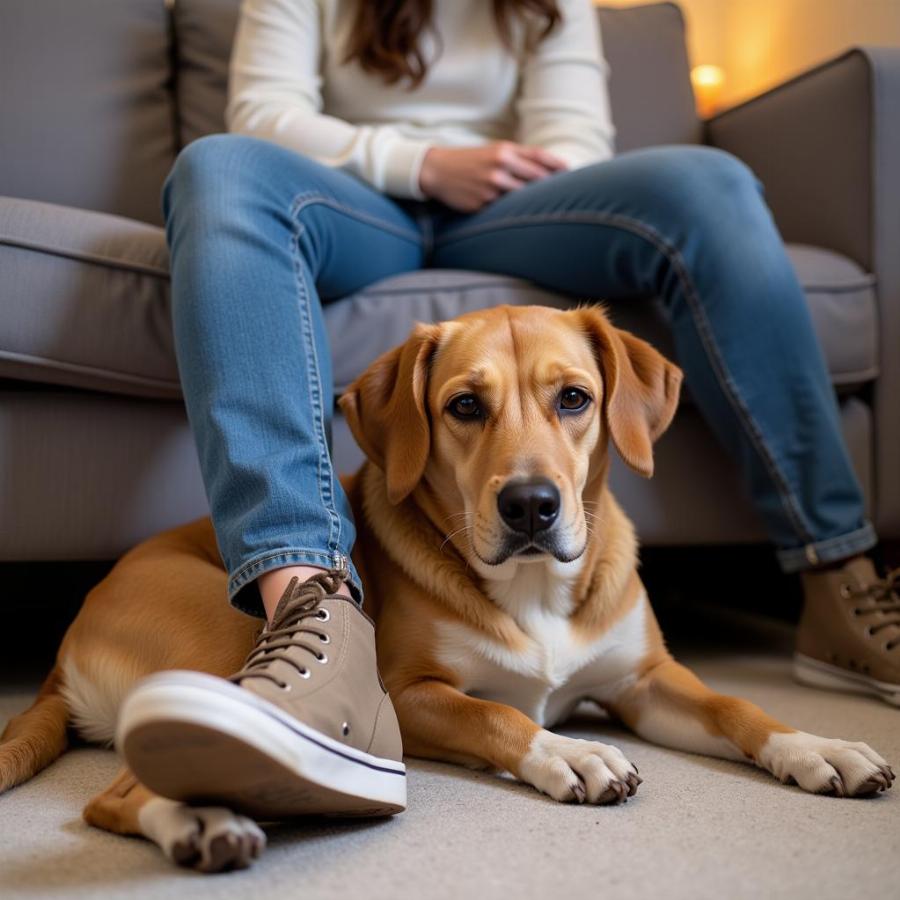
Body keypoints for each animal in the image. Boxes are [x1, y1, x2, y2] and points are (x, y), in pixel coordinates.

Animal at [0, 304, 888, 872]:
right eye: (464, 405)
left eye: (574, 397)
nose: (530, 504)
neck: (534, 590)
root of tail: (68, 644)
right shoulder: (410, 693)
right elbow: (497, 715)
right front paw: (569, 752)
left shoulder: (644, 682)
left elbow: (739, 707)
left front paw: (818, 746)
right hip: (221, 642)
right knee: (113, 796)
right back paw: (199, 820)